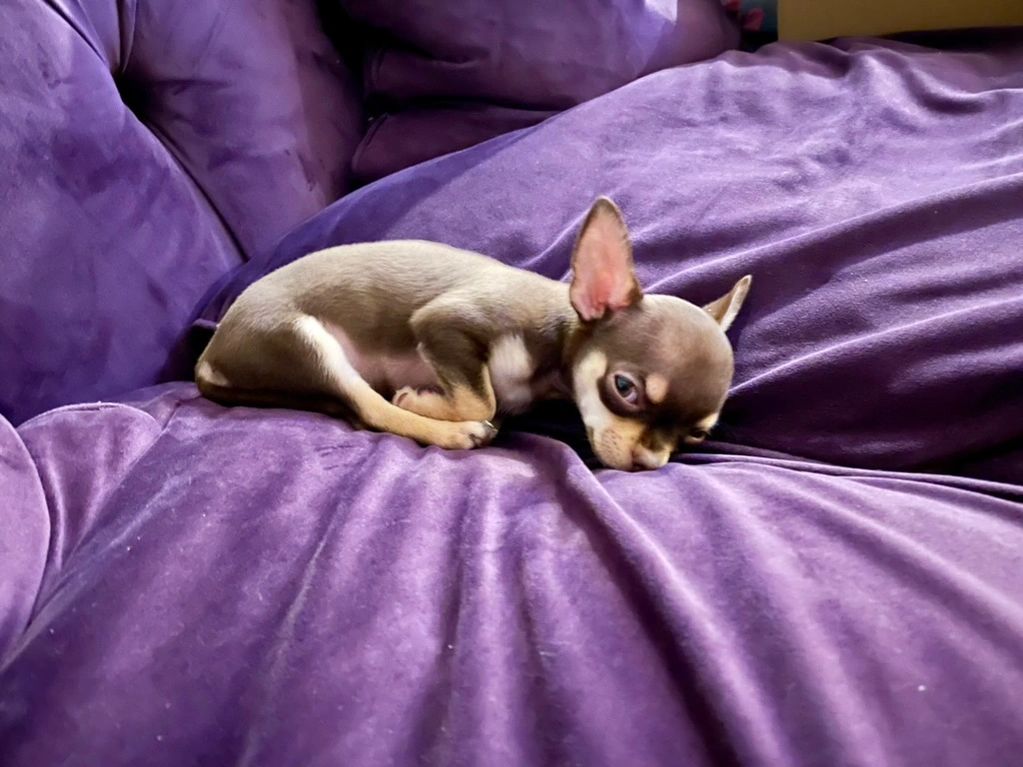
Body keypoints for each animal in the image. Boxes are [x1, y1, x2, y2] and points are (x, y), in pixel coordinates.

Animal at [195, 198, 748, 472]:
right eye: (625, 389)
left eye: (699, 434)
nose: (650, 463)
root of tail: (212, 352)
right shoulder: (443, 324)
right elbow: (481, 398)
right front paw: (429, 403)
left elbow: (491, 400)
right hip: (305, 340)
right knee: (371, 407)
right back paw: (451, 431)